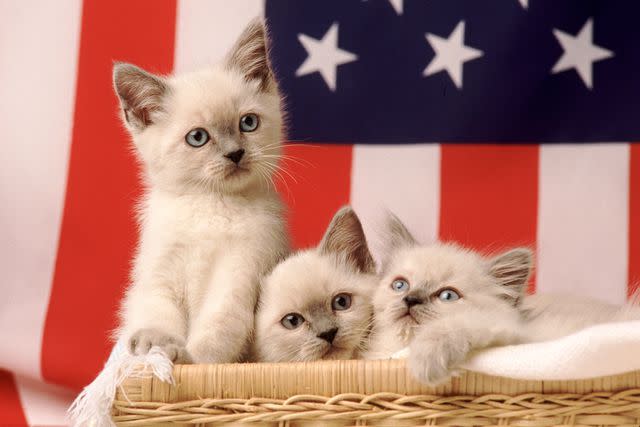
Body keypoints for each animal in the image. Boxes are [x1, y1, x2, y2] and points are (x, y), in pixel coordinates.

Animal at [112, 18, 288, 362]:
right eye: (197, 138)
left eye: (248, 123)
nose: (235, 154)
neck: (210, 205)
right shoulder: (159, 275)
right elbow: (157, 311)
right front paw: (155, 345)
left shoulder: (241, 268)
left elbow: (218, 327)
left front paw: (189, 358)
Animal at [368, 216, 636, 386]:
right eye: (400, 285)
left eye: (447, 296)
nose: (410, 299)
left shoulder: (515, 335)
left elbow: (450, 327)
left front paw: (425, 366)